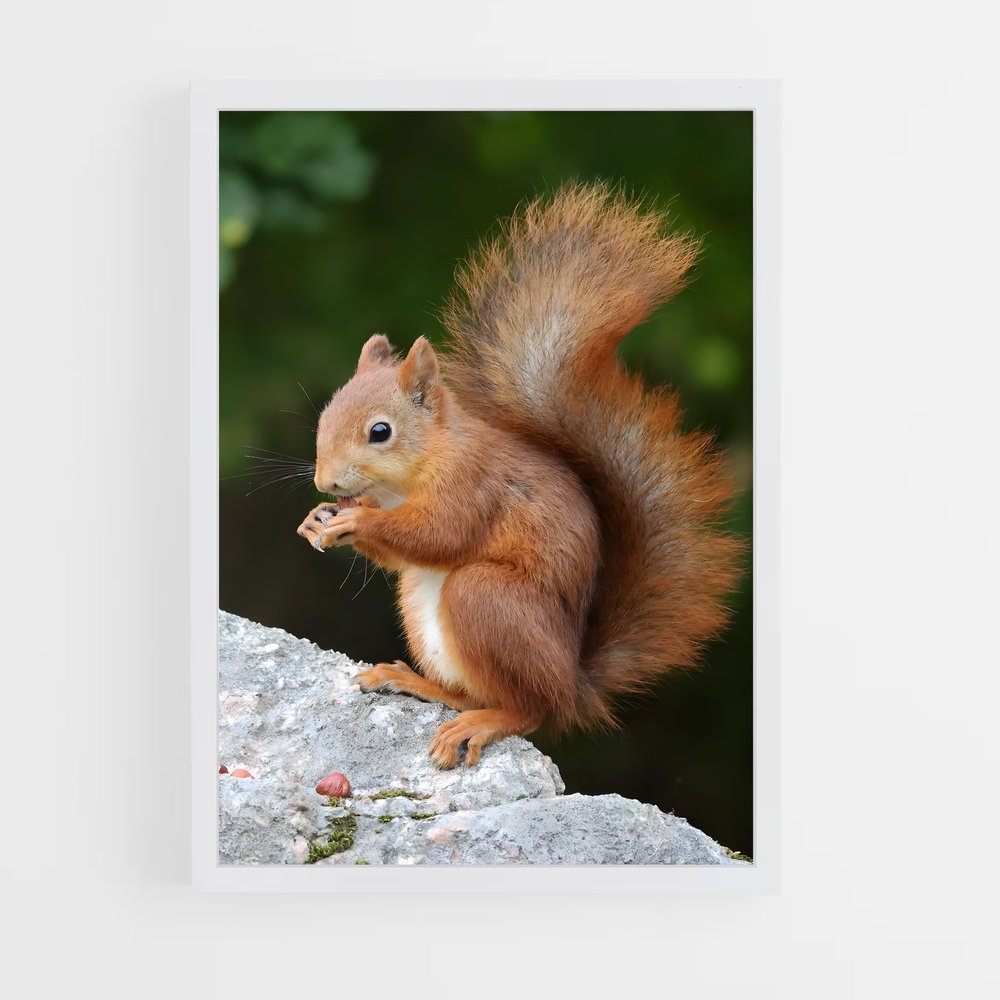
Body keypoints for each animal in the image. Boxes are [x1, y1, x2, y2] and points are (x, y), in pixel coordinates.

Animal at [296, 182, 743, 769]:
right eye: (325, 415)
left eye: (380, 431)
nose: (325, 483)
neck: (408, 480)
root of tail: (573, 684)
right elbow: (403, 552)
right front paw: (317, 519)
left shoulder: (473, 484)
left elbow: (441, 534)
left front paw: (354, 523)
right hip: (424, 609)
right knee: (473, 691)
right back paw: (418, 683)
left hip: (488, 599)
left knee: (528, 710)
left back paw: (483, 723)